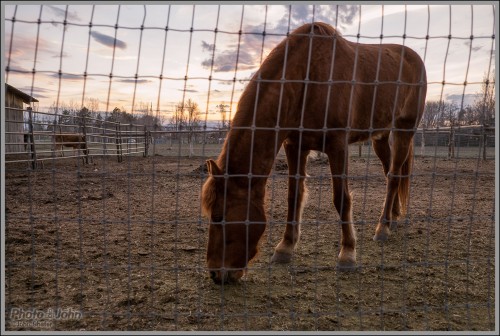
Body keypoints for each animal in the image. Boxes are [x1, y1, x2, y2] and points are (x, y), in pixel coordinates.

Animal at [201, 21, 428, 284]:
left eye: (219, 216)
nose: (216, 274)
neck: (309, 78)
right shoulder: (295, 145)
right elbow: (294, 195)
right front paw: (285, 247)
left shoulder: (337, 146)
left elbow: (341, 199)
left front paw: (347, 253)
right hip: (380, 136)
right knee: (391, 172)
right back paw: (392, 217)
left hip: (403, 130)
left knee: (393, 177)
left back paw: (382, 228)